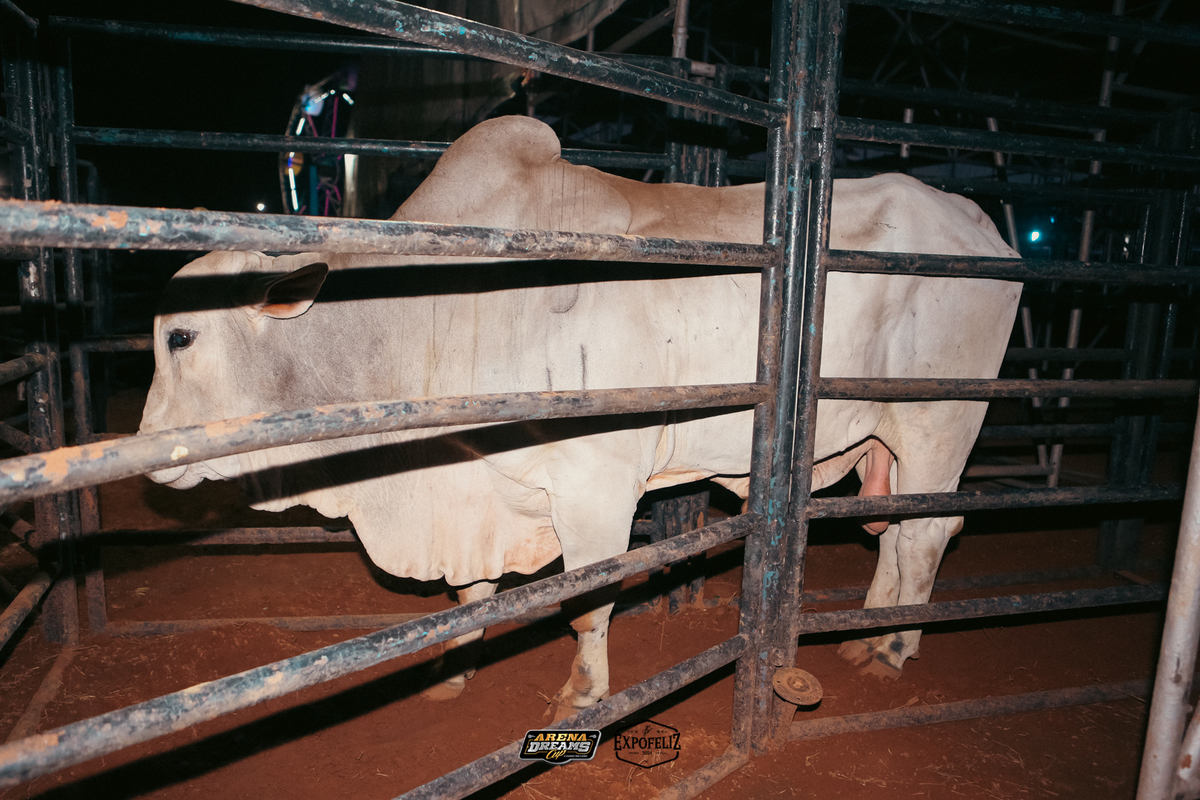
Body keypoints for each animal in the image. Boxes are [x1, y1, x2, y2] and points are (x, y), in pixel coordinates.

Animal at [139, 115, 1021, 719]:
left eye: (182, 335)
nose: (146, 454)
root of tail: (982, 226)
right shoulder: (476, 486)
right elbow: (473, 594)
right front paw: (452, 670)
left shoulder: (596, 486)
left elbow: (588, 602)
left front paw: (583, 694)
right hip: (885, 434)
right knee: (896, 529)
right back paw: (876, 625)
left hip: (941, 419)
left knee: (929, 531)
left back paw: (894, 647)